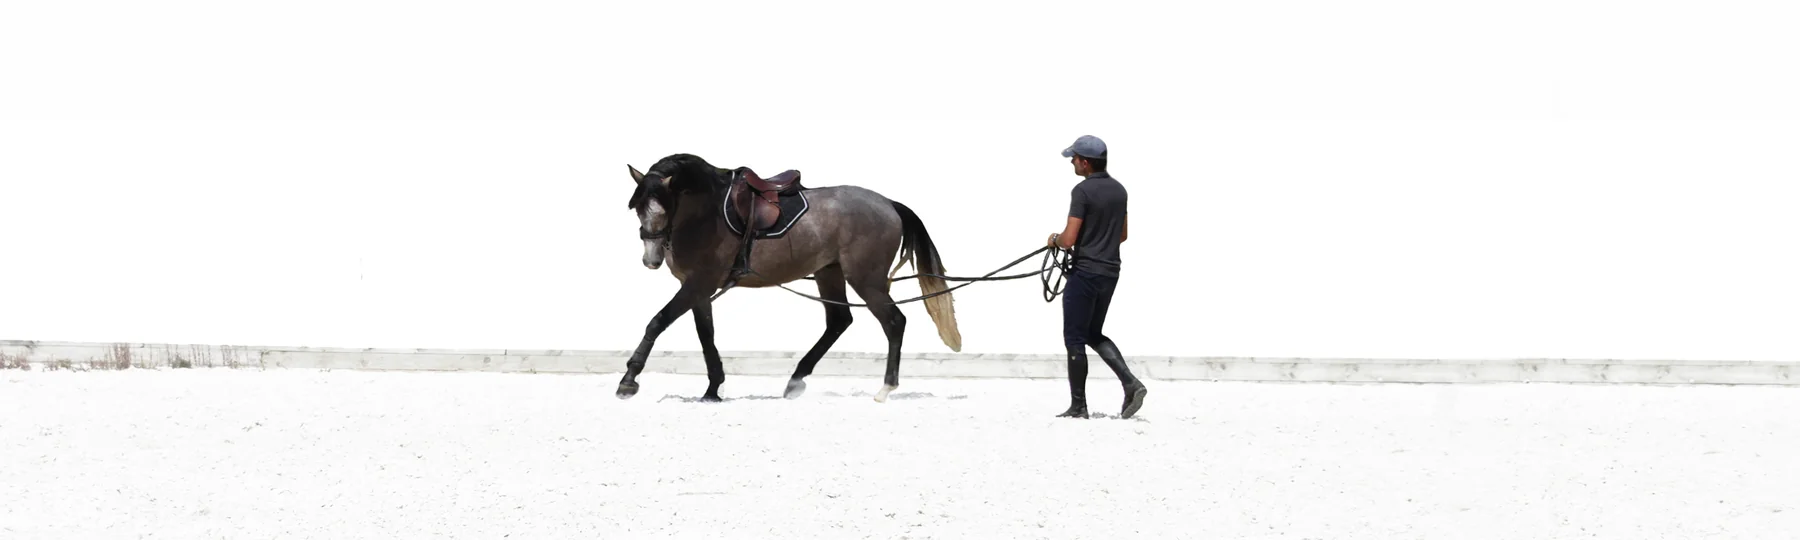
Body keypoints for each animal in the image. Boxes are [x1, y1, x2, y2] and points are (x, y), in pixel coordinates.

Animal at [618, 153, 961, 403]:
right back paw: (796, 381)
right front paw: (713, 390)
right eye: (637, 209)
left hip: (866, 280)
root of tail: (889, 204)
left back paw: (885, 388)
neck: (708, 213)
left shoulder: (699, 283)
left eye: (665, 208)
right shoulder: (698, 288)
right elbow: (706, 336)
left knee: (893, 322)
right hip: (829, 272)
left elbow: (657, 321)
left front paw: (628, 381)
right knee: (839, 321)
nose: (651, 260)